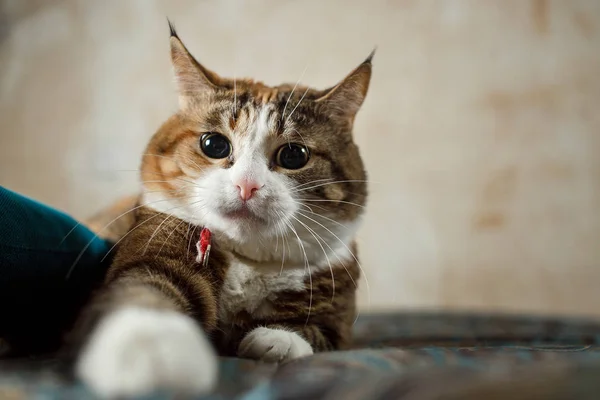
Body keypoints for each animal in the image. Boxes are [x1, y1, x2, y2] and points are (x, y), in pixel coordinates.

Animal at [72, 23, 372, 398]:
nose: (247, 185)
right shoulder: (159, 243)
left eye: (294, 155)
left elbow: (321, 332)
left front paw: (277, 339)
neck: (248, 261)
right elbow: (145, 287)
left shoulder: (337, 304)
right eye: (214, 144)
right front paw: (152, 350)